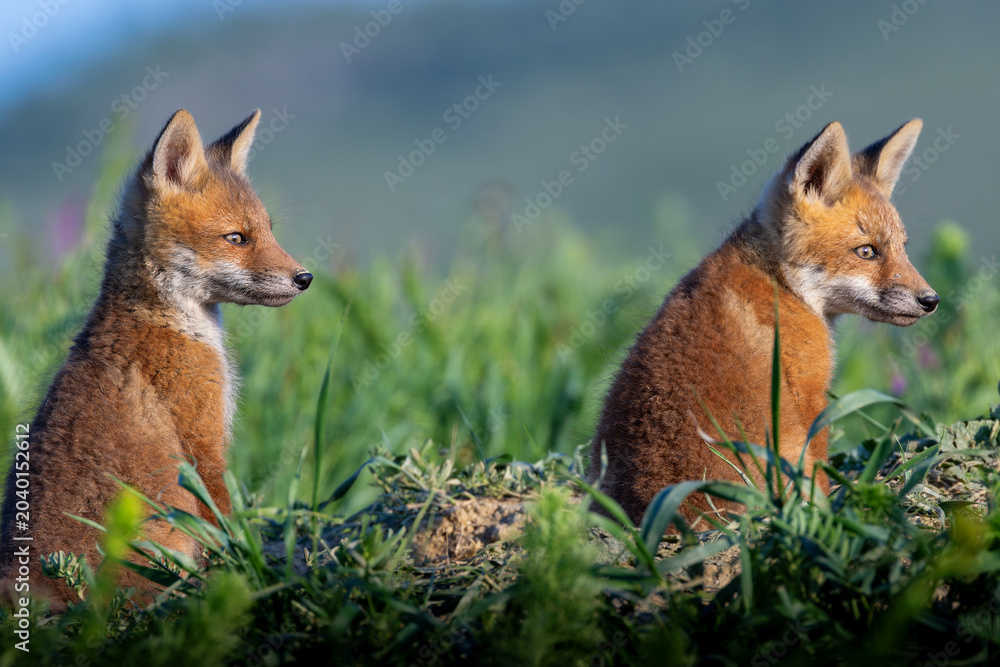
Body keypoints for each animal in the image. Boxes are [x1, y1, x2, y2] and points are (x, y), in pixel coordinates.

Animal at [0, 109, 312, 607]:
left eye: (268, 230)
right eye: (237, 238)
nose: (305, 278)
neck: (164, 321)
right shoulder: (202, 437)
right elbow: (224, 518)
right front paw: (244, 568)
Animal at [590, 119, 939, 527]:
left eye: (902, 247)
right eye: (866, 251)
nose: (931, 301)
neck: (780, 283)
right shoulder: (809, 395)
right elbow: (818, 474)